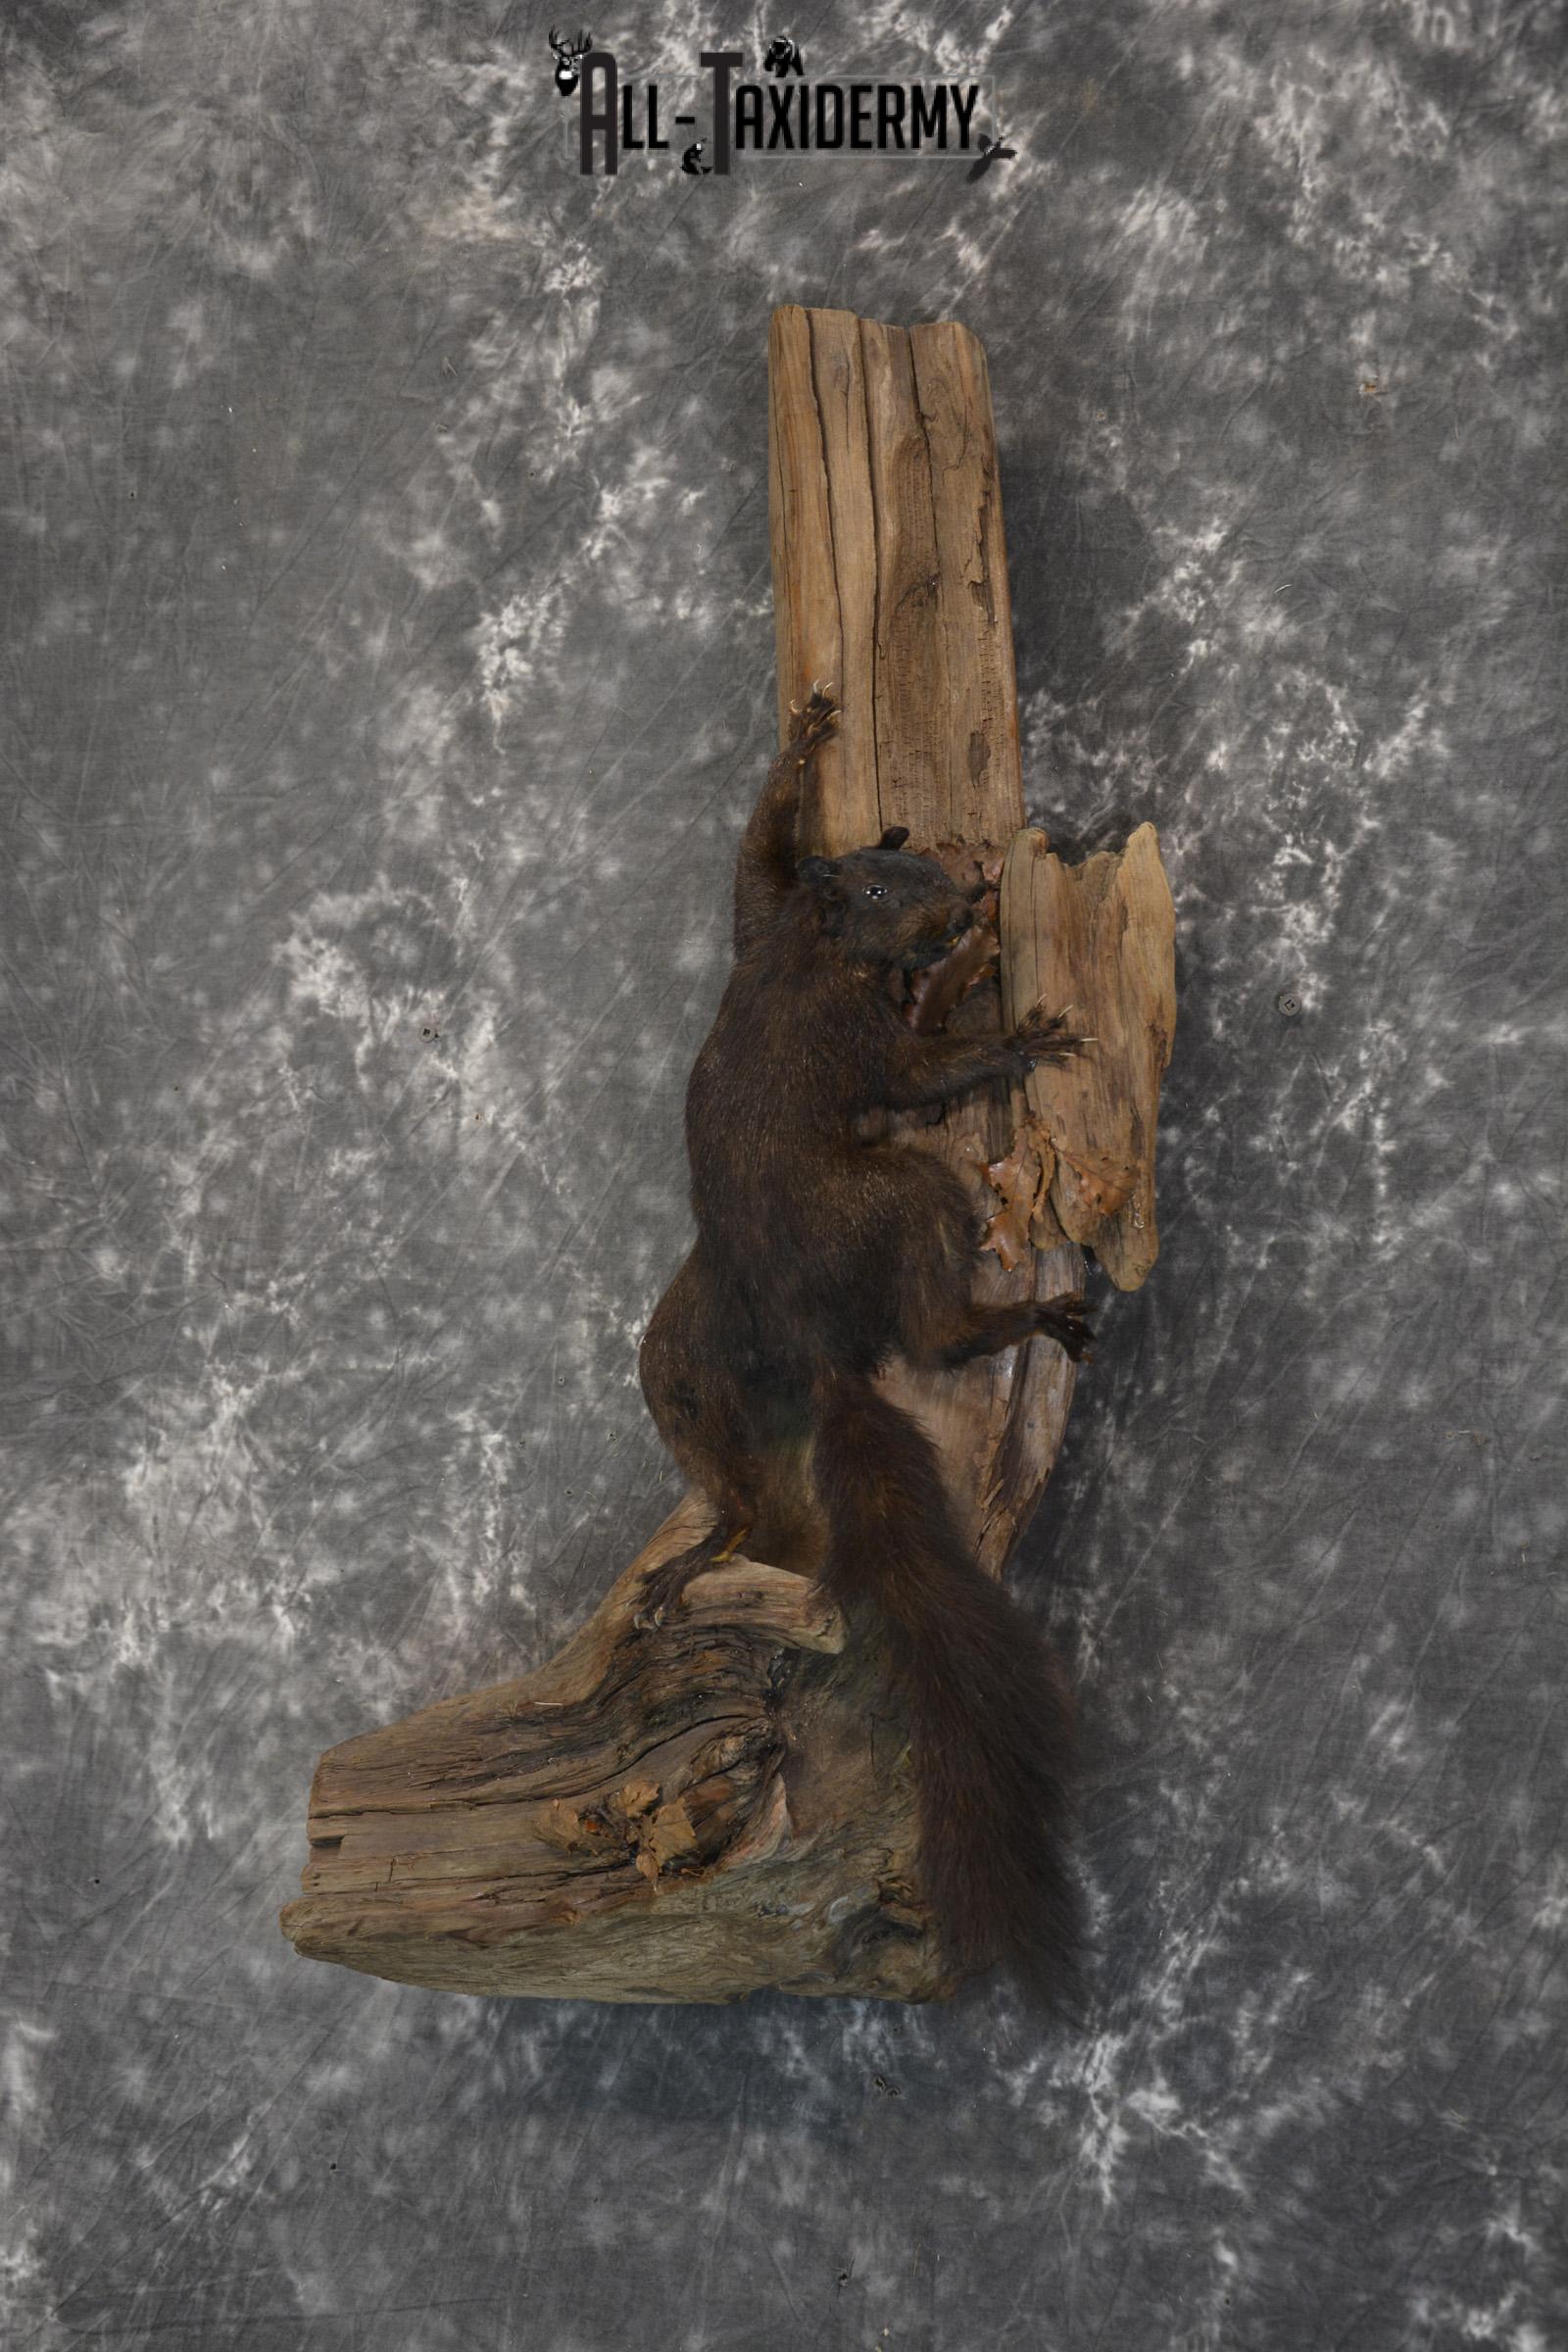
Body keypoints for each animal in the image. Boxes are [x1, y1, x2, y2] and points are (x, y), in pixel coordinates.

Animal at [637, 685, 1093, 2007]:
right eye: (888, 887)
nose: (964, 897)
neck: (810, 948)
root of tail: (811, 1345)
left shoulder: (755, 921)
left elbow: (753, 852)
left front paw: (808, 733)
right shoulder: (846, 1029)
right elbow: (919, 1067)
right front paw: (1019, 1028)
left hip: (687, 1349)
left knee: (730, 1472)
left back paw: (711, 1543)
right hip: (898, 1199)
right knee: (932, 1333)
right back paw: (1009, 1321)